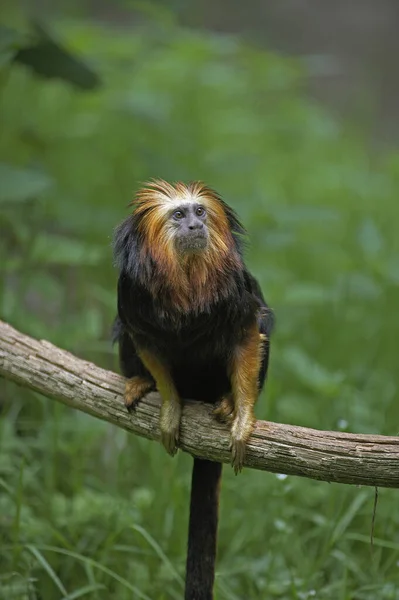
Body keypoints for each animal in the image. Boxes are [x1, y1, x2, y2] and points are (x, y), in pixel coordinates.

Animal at [114, 182, 274, 600]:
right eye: (178, 215)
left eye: (199, 212)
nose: (193, 226)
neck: (185, 276)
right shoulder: (130, 292)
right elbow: (144, 340)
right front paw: (170, 407)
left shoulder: (235, 288)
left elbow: (248, 333)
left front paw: (242, 416)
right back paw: (141, 382)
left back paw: (225, 402)